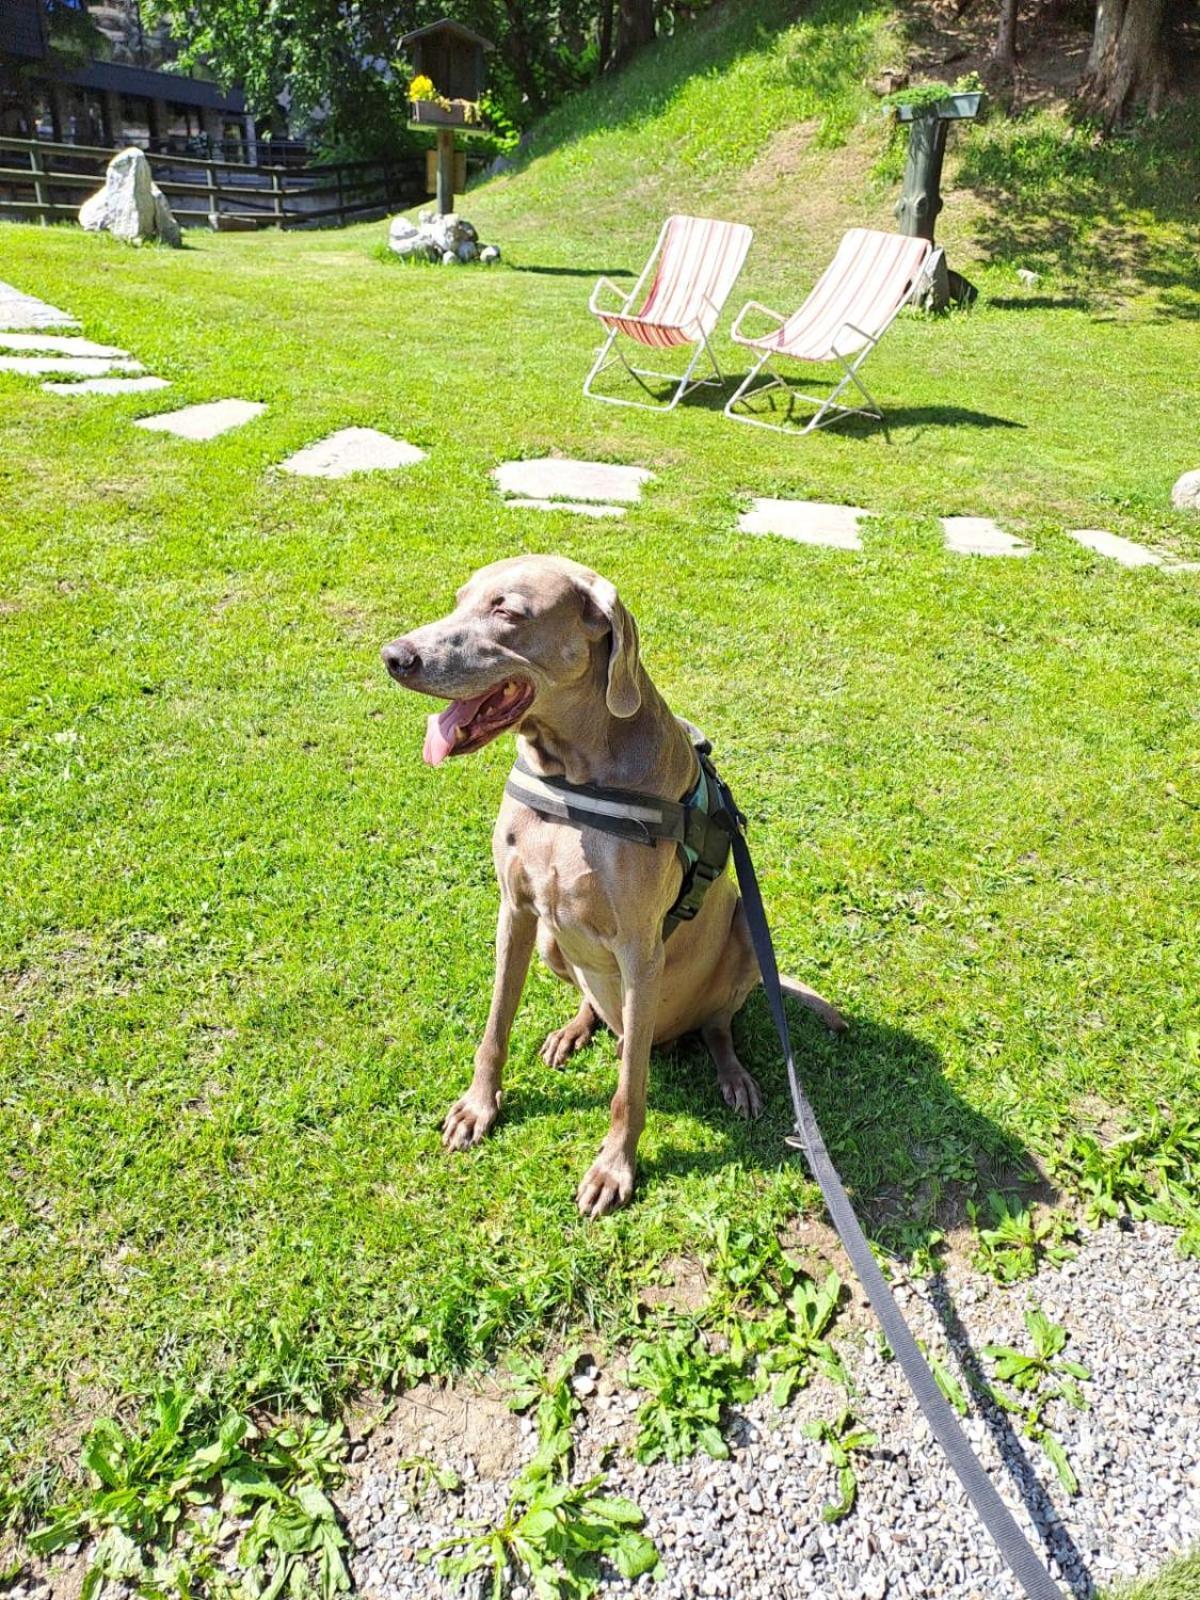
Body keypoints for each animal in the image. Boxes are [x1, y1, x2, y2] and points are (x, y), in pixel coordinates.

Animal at [385, 553, 844, 1209]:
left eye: (507, 610)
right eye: (460, 599)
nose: (395, 656)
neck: (572, 778)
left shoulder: (640, 949)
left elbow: (630, 1090)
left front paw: (613, 1168)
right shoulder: (515, 911)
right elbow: (495, 1026)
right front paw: (478, 1107)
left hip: (743, 931)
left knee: (713, 1027)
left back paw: (733, 1076)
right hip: (553, 942)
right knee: (595, 1005)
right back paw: (574, 1030)